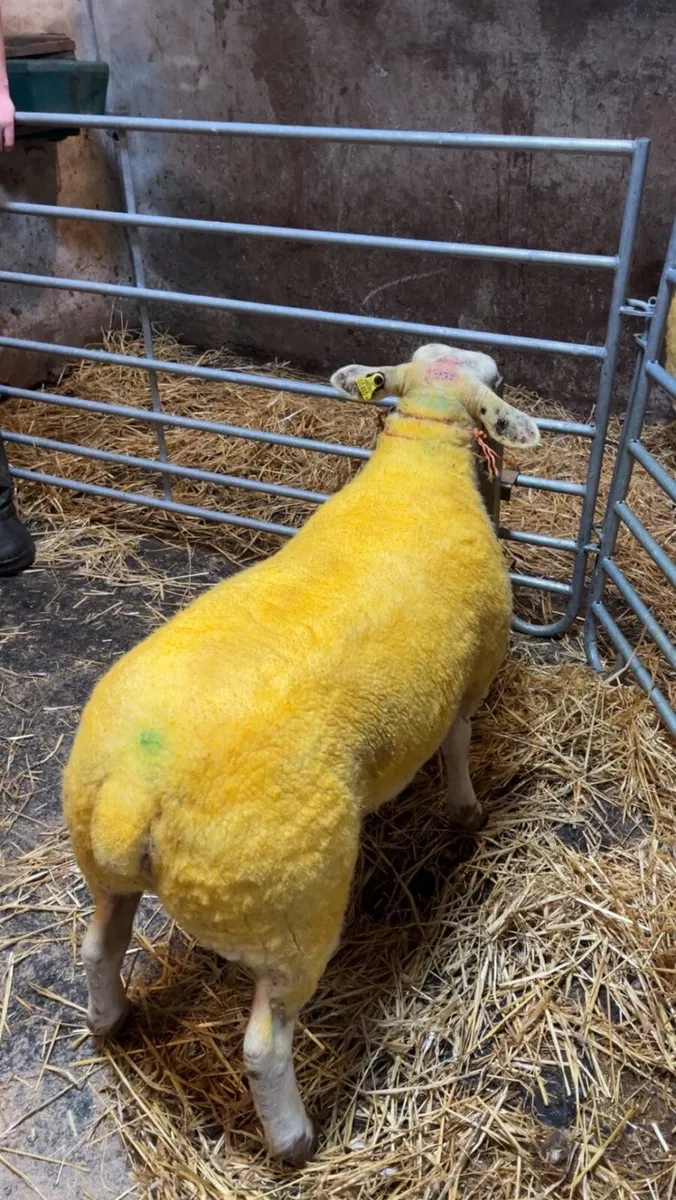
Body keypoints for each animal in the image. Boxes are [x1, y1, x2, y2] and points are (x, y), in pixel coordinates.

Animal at [62, 345, 539, 1165]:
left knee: (98, 948)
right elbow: (456, 744)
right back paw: (293, 1137)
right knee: (263, 1046)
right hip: (290, 914)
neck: (421, 458)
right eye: (501, 385)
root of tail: (131, 797)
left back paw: (109, 1019)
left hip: (104, 868)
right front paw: (466, 811)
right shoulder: (474, 671)